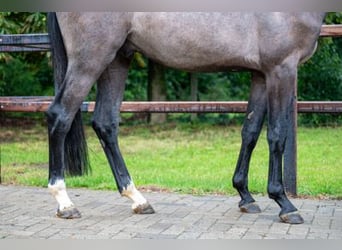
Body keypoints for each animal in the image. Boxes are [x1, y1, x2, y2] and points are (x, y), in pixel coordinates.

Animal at [46, 11, 326, 224]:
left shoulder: (260, 74)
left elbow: (250, 132)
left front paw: (245, 195)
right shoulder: (281, 69)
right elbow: (277, 135)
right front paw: (284, 203)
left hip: (117, 59)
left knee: (105, 123)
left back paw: (137, 199)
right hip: (90, 59)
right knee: (60, 116)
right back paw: (65, 203)